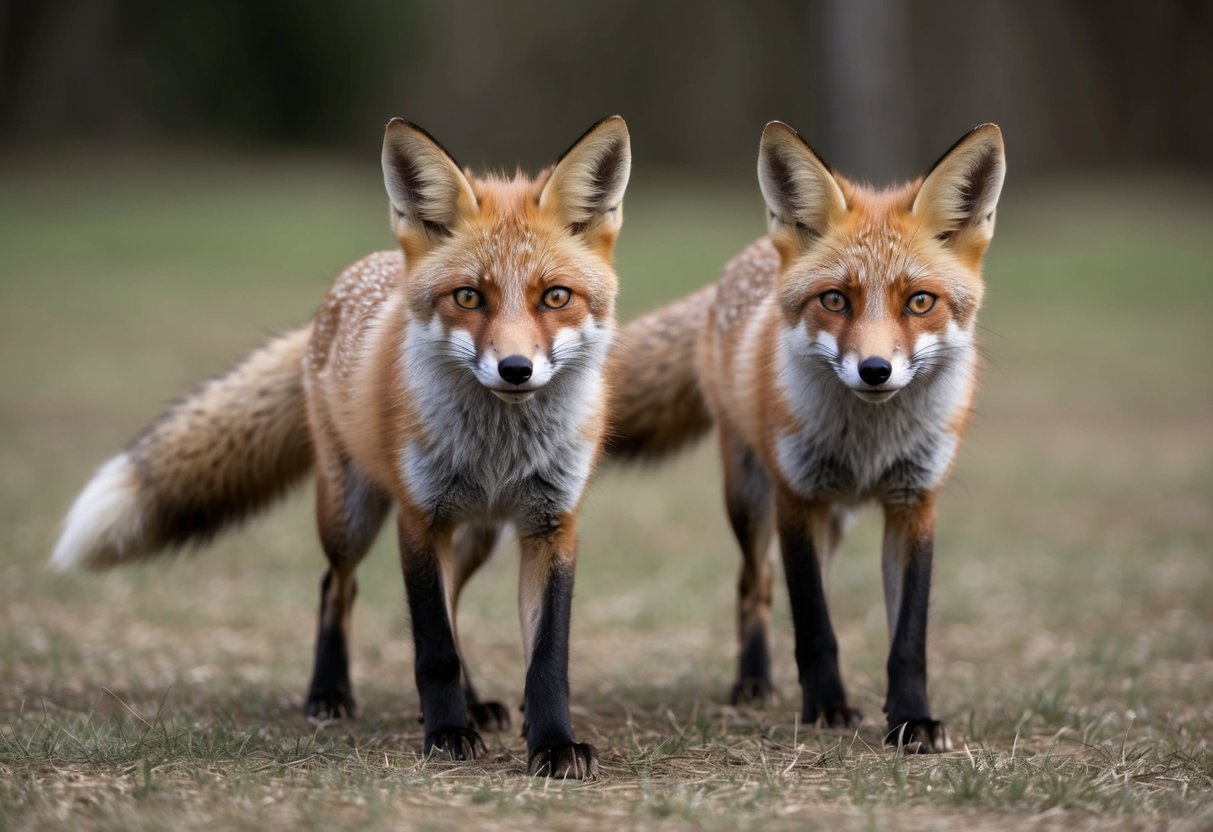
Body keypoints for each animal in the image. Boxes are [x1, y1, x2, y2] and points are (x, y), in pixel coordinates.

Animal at [50, 115, 635, 779]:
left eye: (555, 297)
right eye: (468, 297)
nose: (516, 369)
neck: (497, 453)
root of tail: (346, 287)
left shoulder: (551, 524)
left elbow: (546, 656)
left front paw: (554, 744)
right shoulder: (420, 518)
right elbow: (432, 646)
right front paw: (445, 734)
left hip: (479, 534)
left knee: (454, 602)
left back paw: (474, 700)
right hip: (348, 513)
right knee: (339, 586)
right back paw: (330, 694)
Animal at [604, 122, 1006, 752]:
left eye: (920, 301)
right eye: (835, 299)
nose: (875, 371)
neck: (869, 445)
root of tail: (744, 260)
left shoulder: (914, 503)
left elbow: (907, 637)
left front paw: (911, 718)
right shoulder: (796, 497)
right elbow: (814, 624)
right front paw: (826, 707)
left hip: (832, 520)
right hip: (749, 498)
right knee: (756, 585)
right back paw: (754, 682)